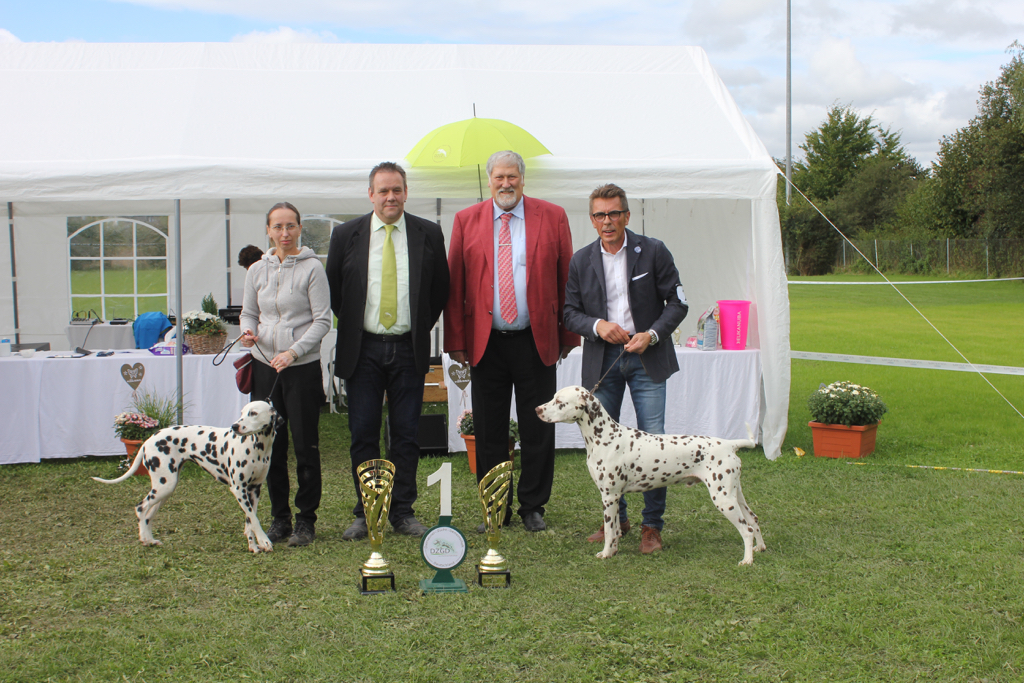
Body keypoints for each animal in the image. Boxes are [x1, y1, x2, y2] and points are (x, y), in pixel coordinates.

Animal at [93, 403, 280, 552]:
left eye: (253, 413)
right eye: (242, 412)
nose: (234, 426)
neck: (257, 446)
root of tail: (148, 440)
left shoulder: (253, 490)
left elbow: (250, 520)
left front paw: (254, 546)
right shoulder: (239, 489)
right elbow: (254, 520)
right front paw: (264, 541)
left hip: (166, 489)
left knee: (148, 514)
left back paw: (150, 540)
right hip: (164, 486)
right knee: (141, 508)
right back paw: (145, 539)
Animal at [536, 387, 761, 565]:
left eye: (559, 402)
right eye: (553, 397)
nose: (537, 409)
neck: (606, 437)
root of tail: (729, 444)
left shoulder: (609, 497)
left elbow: (609, 530)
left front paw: (606, 553)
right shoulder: (615, 498)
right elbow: (615, 530)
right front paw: (614, 551)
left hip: (723, 499)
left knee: (747, 529)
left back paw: (747, 560)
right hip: (735, 495)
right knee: (754, 519)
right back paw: (760, 548)